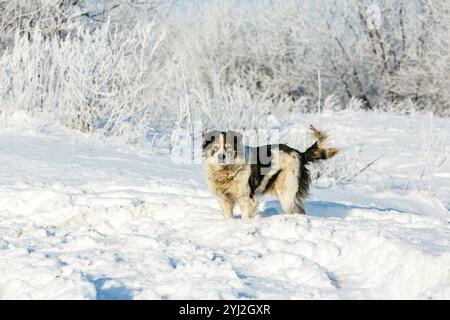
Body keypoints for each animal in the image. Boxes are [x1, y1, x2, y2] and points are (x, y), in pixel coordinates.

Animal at [203, 126, 338, 219]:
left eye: (228, 148)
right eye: (215, 148)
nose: (221, 156)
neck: (227, 170)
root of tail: (300, 154)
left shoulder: (246, 197)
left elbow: (246, 216)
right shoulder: (224, 198)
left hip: (286, 192)